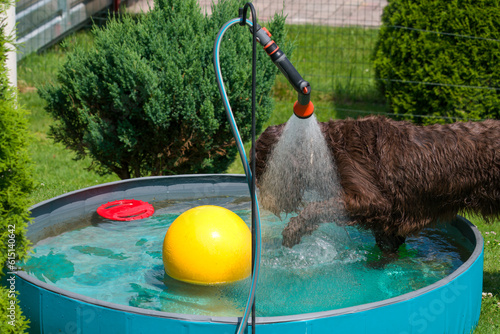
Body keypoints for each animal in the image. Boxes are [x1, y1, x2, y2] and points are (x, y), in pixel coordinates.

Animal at [256, 115, 500, 253]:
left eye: (263, 167)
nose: (263, 200)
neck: (325, 150)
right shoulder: (389, 226)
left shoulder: (372, 200)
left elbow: (318, 208)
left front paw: (293, 231)